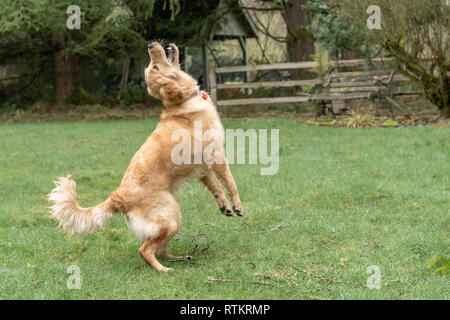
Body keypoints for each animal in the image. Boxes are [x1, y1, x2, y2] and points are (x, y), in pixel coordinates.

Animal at [48, 42, 243, 272]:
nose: (150, 45)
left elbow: (216, 188)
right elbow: (230, 182)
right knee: (146, 250)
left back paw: (179, 258)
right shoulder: (216, 156)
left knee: (159, 249)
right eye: (155, 67)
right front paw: (238, 206)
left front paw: (225, 207)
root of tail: (118, 197)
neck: (184, 101)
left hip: (172, 220)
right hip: (171, 218)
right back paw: (164, 270)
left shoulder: (203, 168)